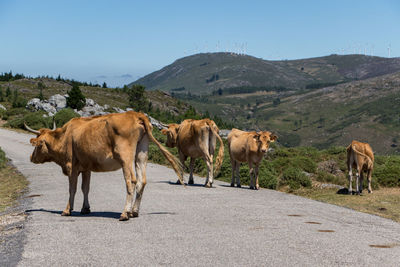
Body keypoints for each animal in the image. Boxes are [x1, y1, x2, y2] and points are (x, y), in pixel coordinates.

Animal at [23, 111, 183, 222]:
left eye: (37, 145)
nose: (31, 157)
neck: (64, 136)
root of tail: (135, 114)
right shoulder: (86, 168)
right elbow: (85, 188)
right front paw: (85, 208)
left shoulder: (71, 167)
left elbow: (72, 189)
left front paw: (67, 210)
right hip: (141, 154)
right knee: (141, 181)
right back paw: (134, 211)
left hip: (126, 157)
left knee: (131, 180)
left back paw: (125, 213)